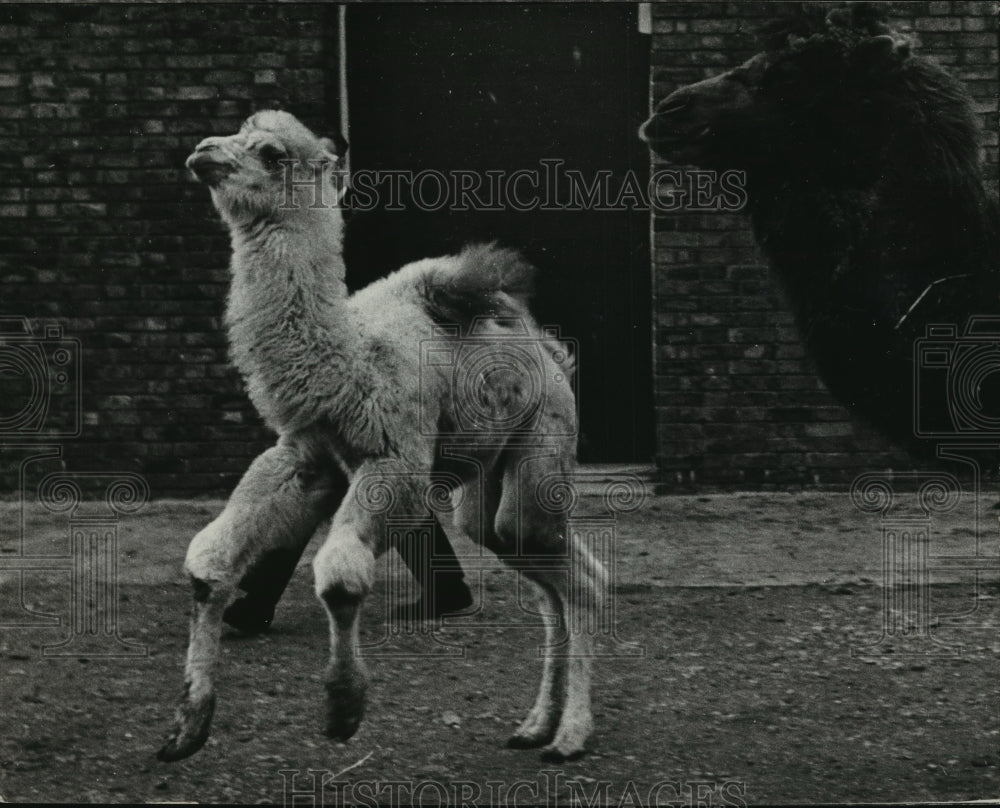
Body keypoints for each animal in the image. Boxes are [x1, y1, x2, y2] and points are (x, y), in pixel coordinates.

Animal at [156, 112, 600, 764]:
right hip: (488, 492)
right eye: (235, 131)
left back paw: (569, 737)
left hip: (543, 442)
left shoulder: (396, 460)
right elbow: (208, 562)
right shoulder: (304, 455)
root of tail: (550, 351)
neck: (350, 364)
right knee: (545, 583)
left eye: (271, 152)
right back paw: (534, 727)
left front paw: (343, 709)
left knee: (575, 581)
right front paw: (187, 725)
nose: (203, 153)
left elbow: (340, 577)